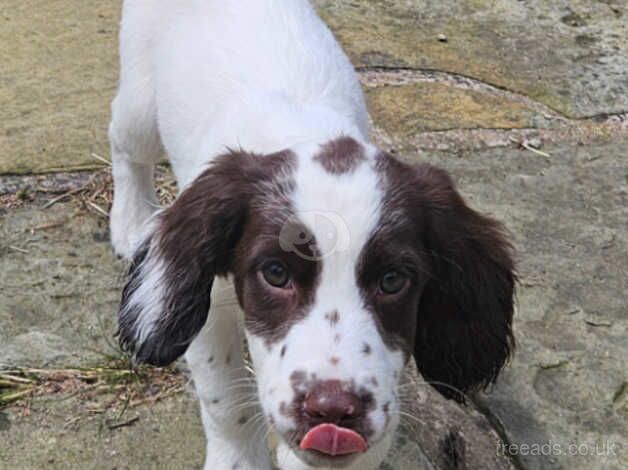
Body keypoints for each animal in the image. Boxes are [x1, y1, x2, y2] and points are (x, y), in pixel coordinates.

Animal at [109, 1, 516, 468]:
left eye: (393, 280)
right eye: (275, 273)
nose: (333, 411)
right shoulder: (208, 304)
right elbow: (226, 400)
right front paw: (238, 460)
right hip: (140, 105)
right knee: (124, 143)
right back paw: (130, 223)